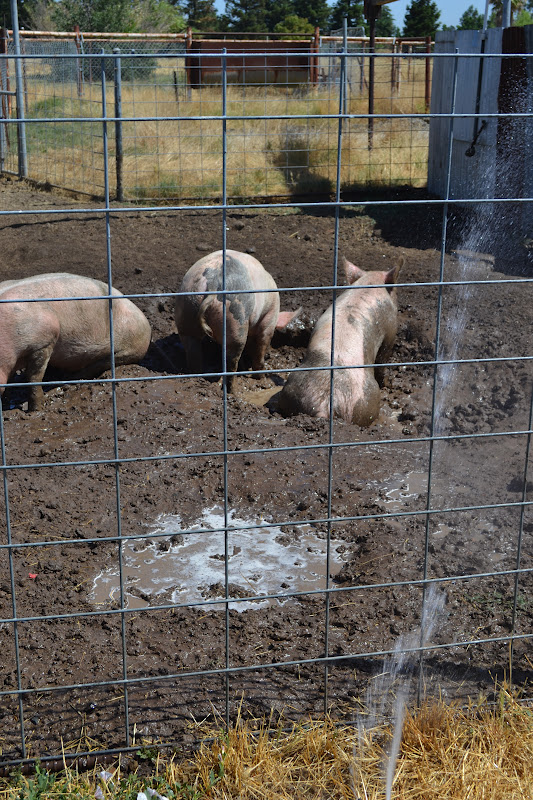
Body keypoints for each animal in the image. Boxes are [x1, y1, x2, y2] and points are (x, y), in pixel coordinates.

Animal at [0, 273, 152, 411]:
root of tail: (147, 325)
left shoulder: (45, 341)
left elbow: (33, 377)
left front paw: (36, 409)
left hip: (129, 347)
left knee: (101, 364)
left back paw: (69, 380)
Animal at [174, 250, 301, 392]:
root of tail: (212, 282)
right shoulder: (269, 318)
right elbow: (262, 345)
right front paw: (261, 376)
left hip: (187, 306)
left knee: (193, 351)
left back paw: (198, 377)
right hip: (236, 317)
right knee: (232, 359)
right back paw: (232, 390)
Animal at [276, 257, 403, 426]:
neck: (369, 282)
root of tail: (324, 407)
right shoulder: (390, 330)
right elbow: (383, 359)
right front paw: (388, 384)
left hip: (292, 390)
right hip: (365, 403)